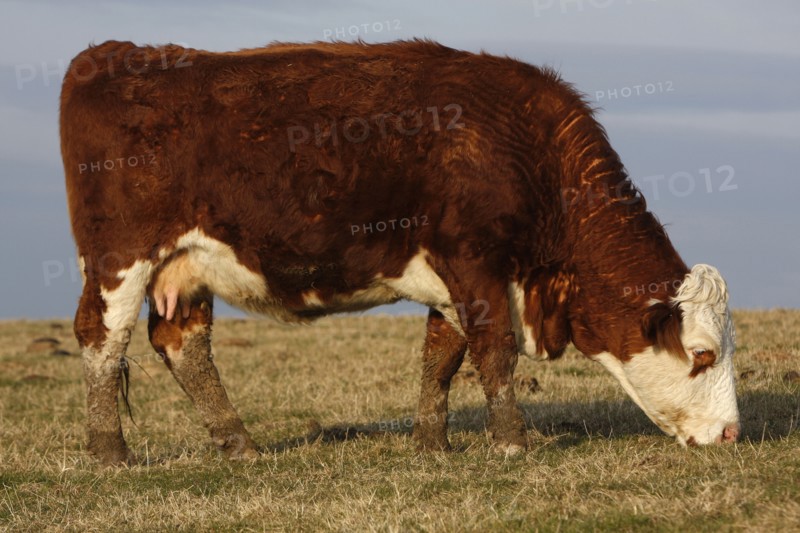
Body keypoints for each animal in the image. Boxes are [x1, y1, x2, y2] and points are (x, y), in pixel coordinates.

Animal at [60, 39, 740, 465]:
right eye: (702, 355)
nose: (733, 433)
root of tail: (113, 54)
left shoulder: (452, 277)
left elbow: (443, 356)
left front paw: (432, 445)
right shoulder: (477, 262)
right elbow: (494, 351)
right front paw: (511, 444)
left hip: (187, 268)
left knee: (182, 343)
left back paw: (238, 445)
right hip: (120, 257)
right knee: (102, 336)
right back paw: (109, 452)